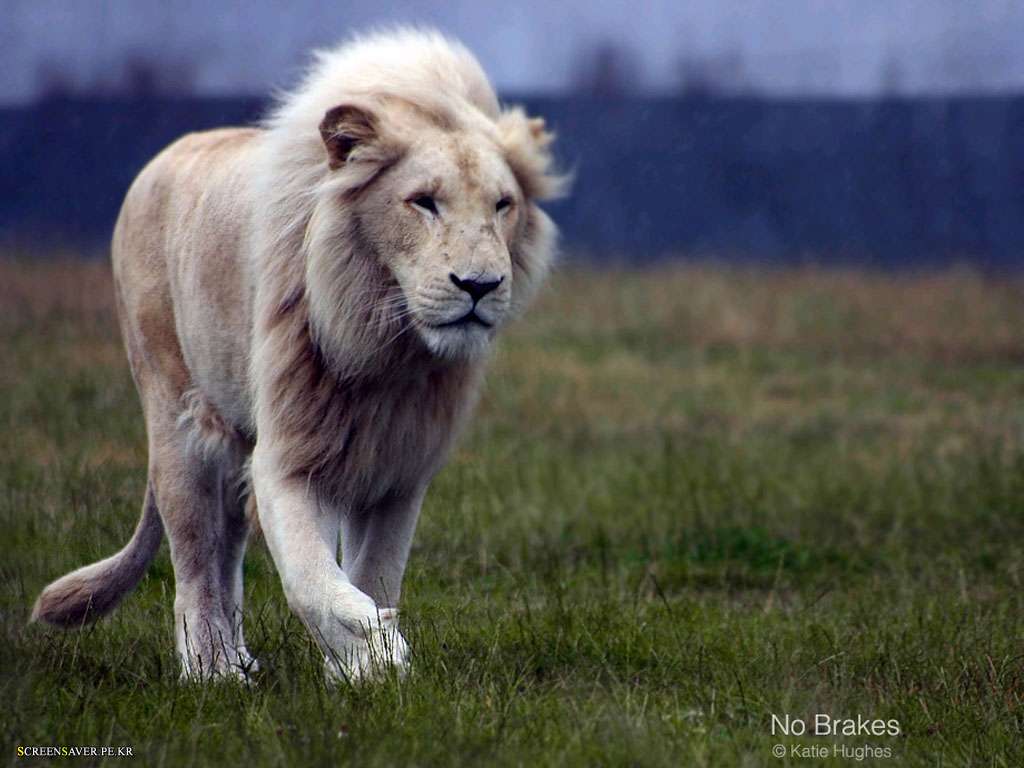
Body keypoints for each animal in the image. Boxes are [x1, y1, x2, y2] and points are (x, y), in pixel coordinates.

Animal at [31, 28, 564, 681]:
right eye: (424, 202)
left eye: (502, 205)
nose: (481, 286)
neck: (388, 348)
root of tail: (165, 157)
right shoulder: (289, 456)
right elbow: (313, 578)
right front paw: (373, 643)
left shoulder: (399, 469)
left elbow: (376, 572)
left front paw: (368, 667)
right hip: (176, 415)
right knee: (194, 559)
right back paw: (212, 672)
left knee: (225, 549)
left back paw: (239, 659)